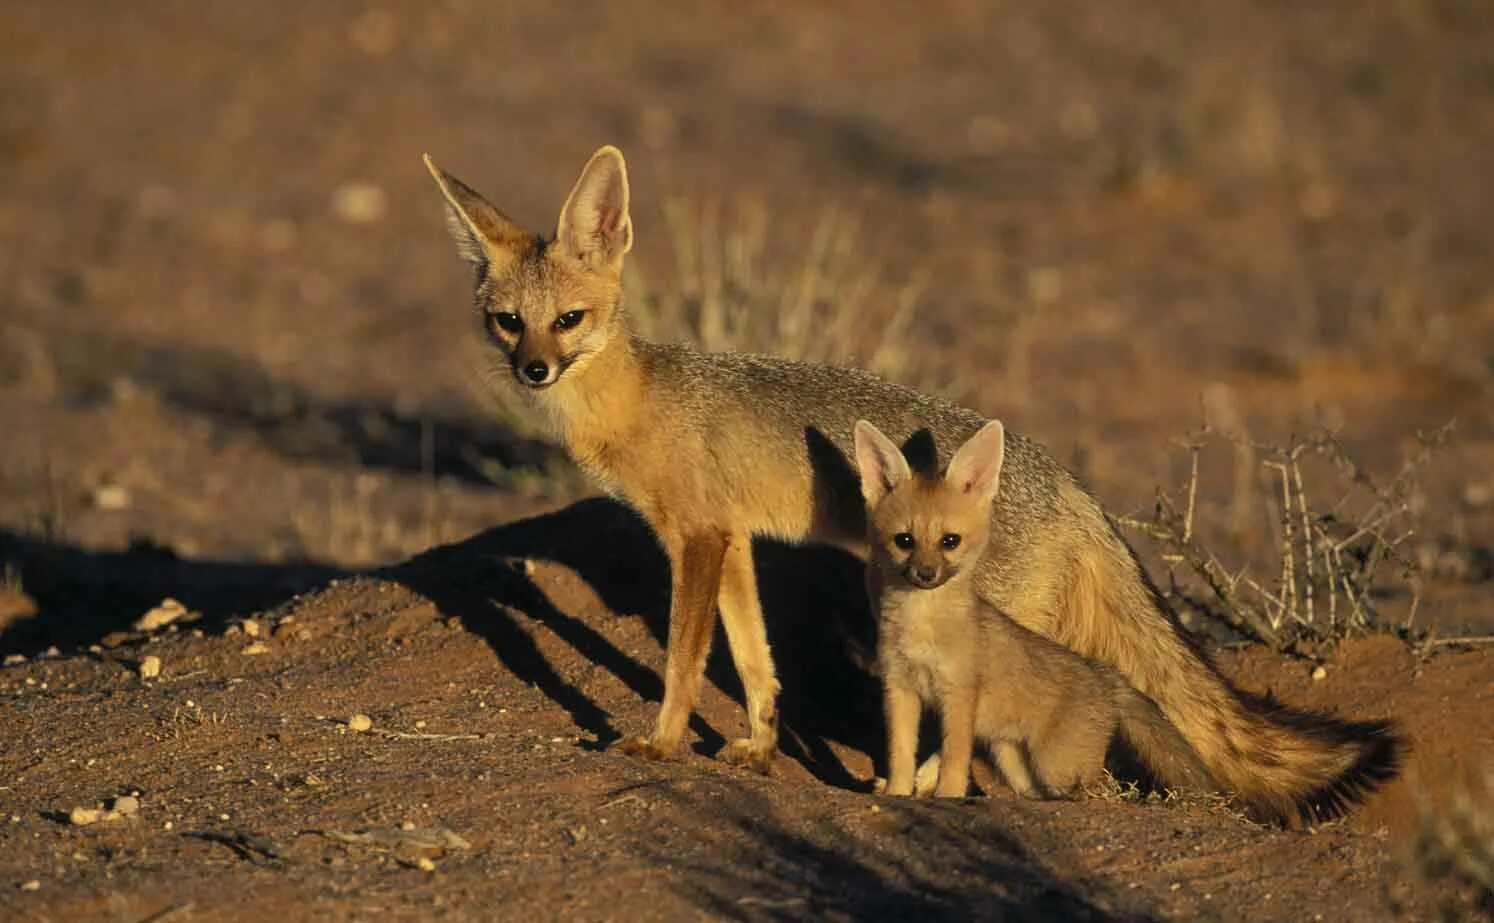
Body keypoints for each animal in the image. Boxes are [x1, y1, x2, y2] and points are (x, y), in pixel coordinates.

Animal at [424, 143, 1398, 818]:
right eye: (508, 322)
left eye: (568, 320)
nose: (534, 371)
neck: (638, 399)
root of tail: (1070, 478)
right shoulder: (729, 538)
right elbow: (755, 655)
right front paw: (758, 746)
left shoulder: (694, 538)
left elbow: (682, 658)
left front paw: (664, 744)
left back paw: (928, 779)